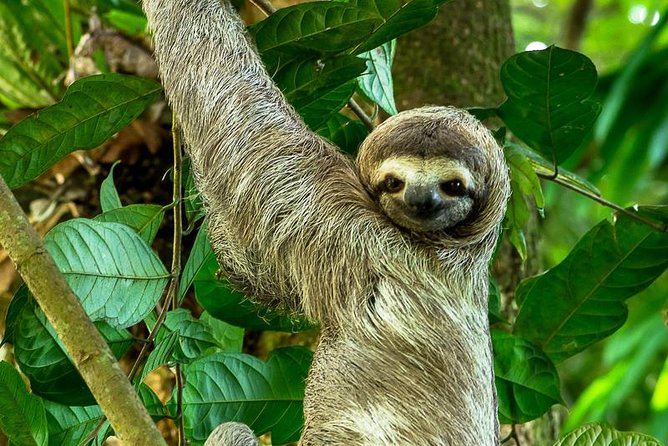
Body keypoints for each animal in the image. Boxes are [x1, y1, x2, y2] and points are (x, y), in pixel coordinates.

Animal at [142, 0, 510, 444]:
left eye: (454, 185)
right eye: (394, 181)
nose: (421, 200)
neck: (443, 248)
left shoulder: (342, 231)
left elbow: (243, 128)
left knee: (232, 430)